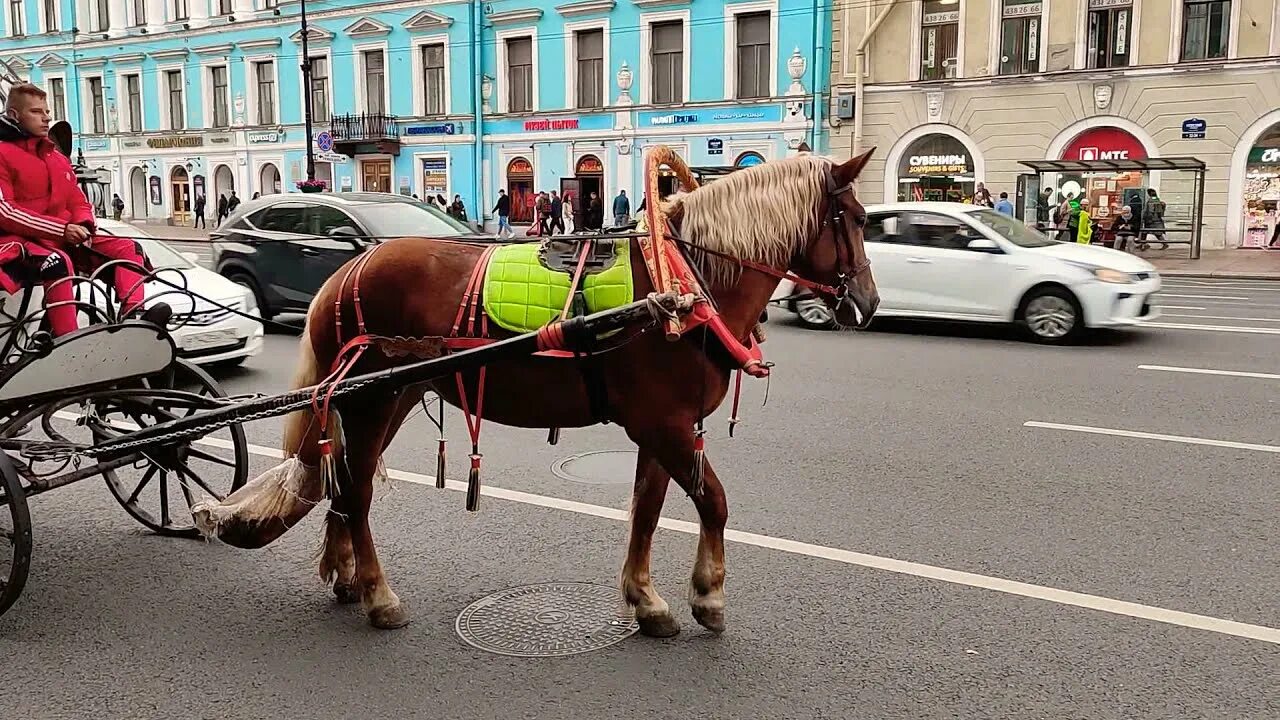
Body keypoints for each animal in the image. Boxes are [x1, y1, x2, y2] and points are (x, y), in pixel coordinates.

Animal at [194, 147, 880, 632]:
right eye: (853, 218)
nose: (868, 304)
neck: (681, 282)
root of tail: (349, 267)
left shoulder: (663, 428)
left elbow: (647, 510)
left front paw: (645, 598)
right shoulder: (663, 424)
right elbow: (713, 502)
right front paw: (707, 595)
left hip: (390, 399)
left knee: (342, 485)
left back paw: (346, 578)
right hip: (372, 400)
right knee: (356, 492)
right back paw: (379, 595)